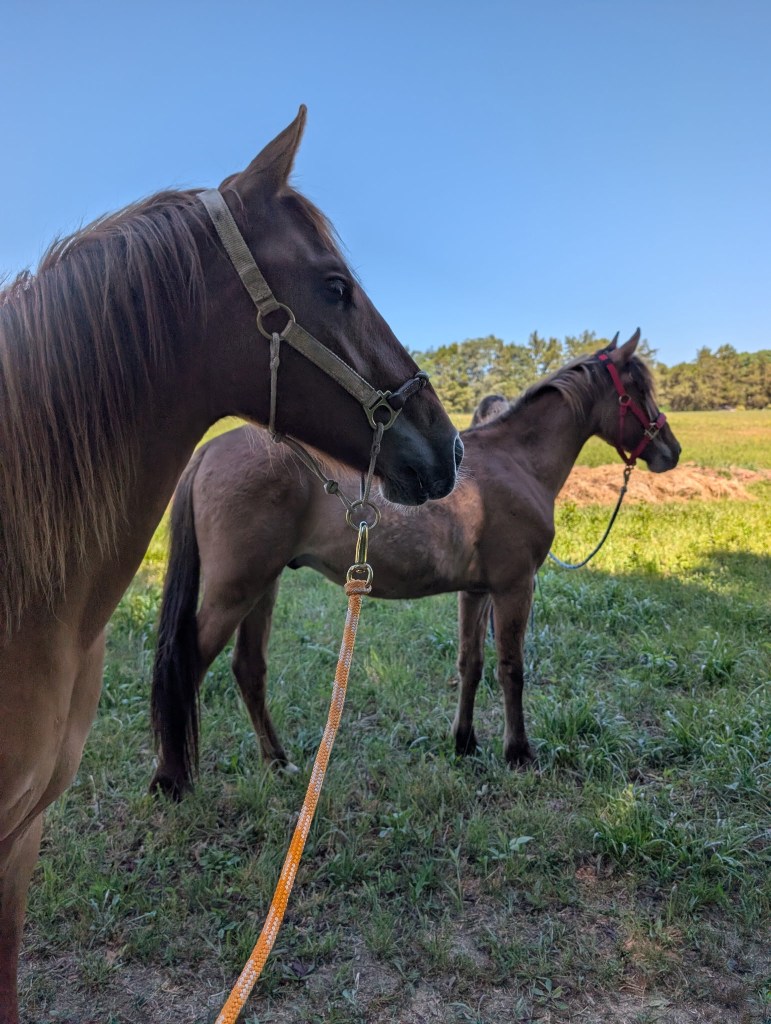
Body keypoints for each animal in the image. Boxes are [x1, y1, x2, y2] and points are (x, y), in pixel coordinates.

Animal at [149, 330, 681, 801]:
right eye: (637, 389)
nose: (670, 451)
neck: (516, 462)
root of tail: (207, 451)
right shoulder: (514, 588)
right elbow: (511, 668)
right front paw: (518, 752)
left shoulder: (476, 592)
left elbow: (471, 664)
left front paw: (465, 742)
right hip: (236, 590)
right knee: (188, 664)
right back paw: (170, 780)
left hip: (264, 586)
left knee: (248, 669)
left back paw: (278, 762)